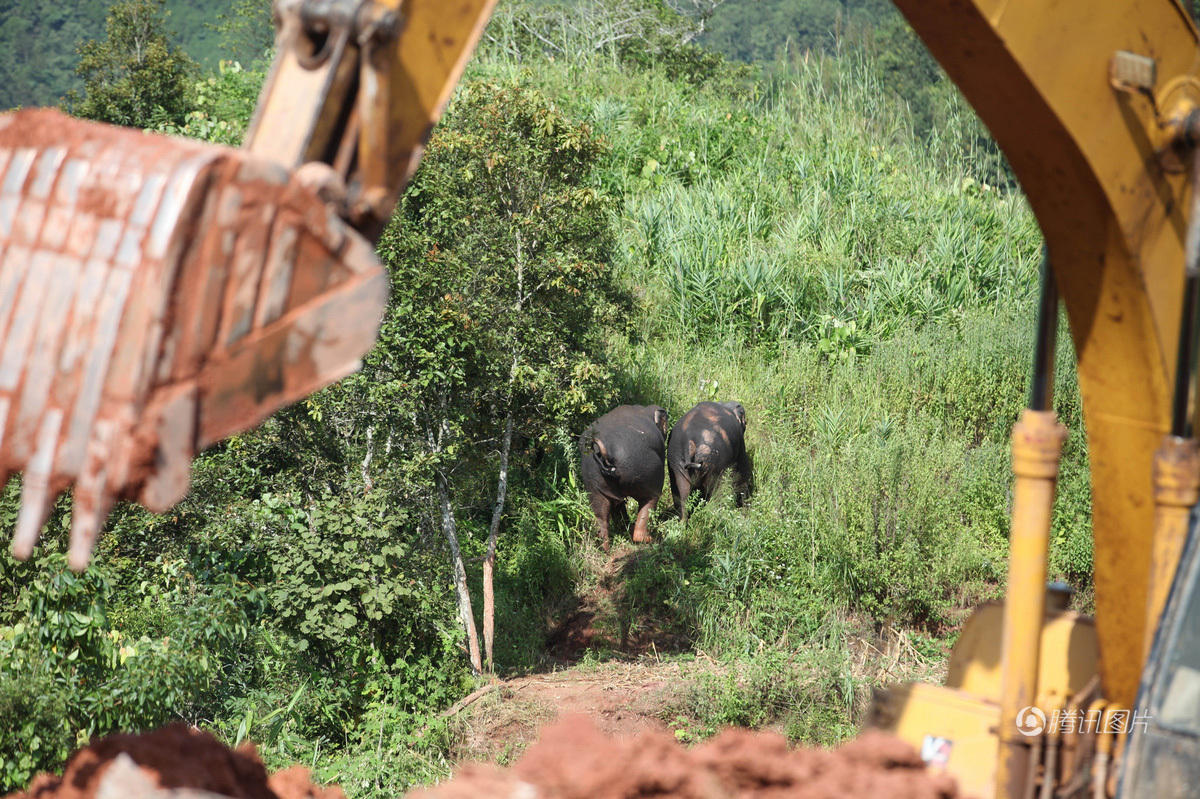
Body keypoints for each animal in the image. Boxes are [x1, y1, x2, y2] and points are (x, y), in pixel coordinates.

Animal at [578, 405, 672, 547]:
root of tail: (604, 451)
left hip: (593, 483)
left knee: (601, 513)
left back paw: (605, 546)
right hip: (646, 472)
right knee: (650, 500)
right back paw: (649, 539)